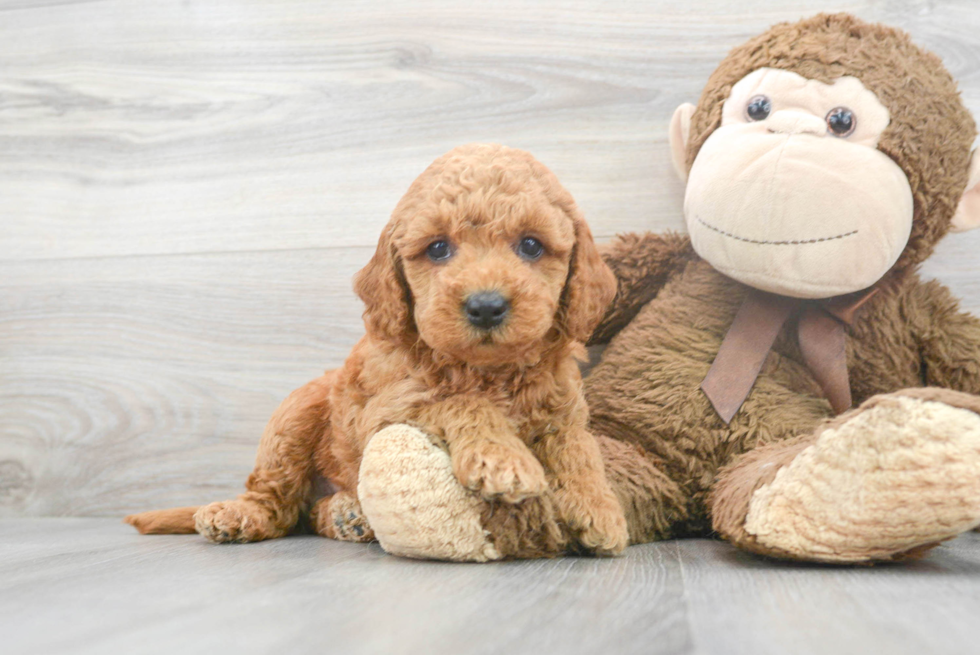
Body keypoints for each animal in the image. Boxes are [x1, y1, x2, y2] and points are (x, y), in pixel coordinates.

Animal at [126, 142, 628, 552]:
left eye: (531, 245)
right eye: (439, 248)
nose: (486, 306)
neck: (489, 370)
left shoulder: (564, 408)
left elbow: (577, 446)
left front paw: (600, 508)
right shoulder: (387, 412)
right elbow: (461, 402)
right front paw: (504, 459)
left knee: (308, 514)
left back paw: (347, 515)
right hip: (294, 416)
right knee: (277, 503)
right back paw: (240, 514)